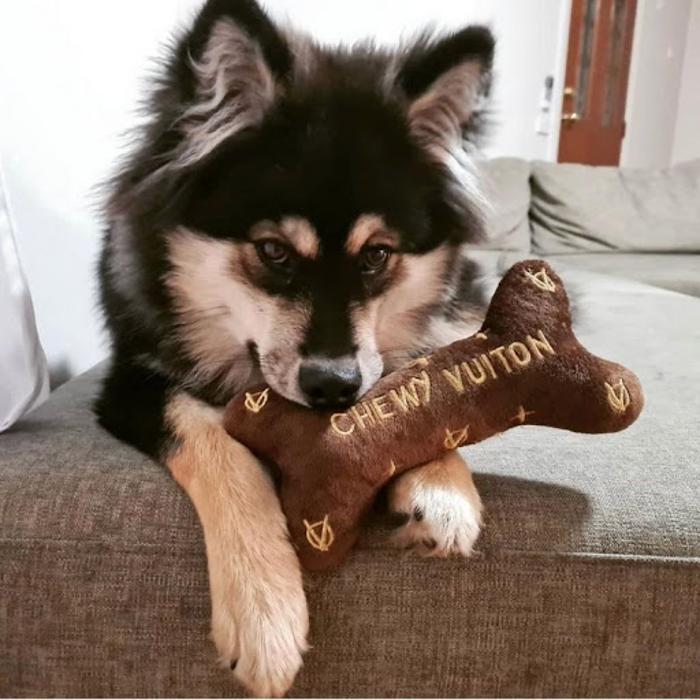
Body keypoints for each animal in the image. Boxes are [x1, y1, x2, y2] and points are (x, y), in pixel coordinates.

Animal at [95, 0, 494, 695]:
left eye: (377, 255)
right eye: (274, 251)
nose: (334, 388)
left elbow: (422, 375)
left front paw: (441, 489)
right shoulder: (130, 382)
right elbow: (222, 448)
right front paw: (264, 611)